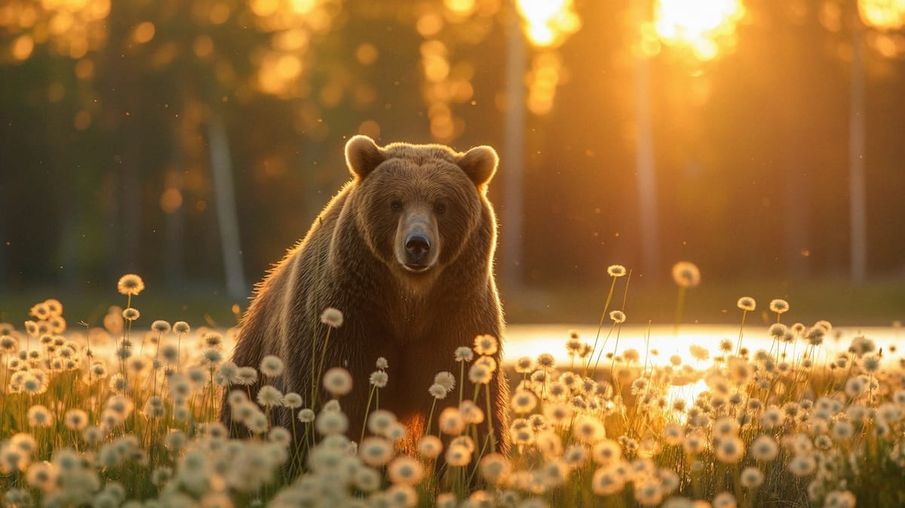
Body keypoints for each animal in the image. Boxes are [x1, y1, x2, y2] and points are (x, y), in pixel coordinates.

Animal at [223, 135, 510, 459]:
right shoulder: (347, 318)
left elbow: (465, 401)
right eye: (395, 202)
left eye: (441, 205)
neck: (408, 300)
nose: (417, 244)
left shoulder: (457, 317)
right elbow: (327, 399)